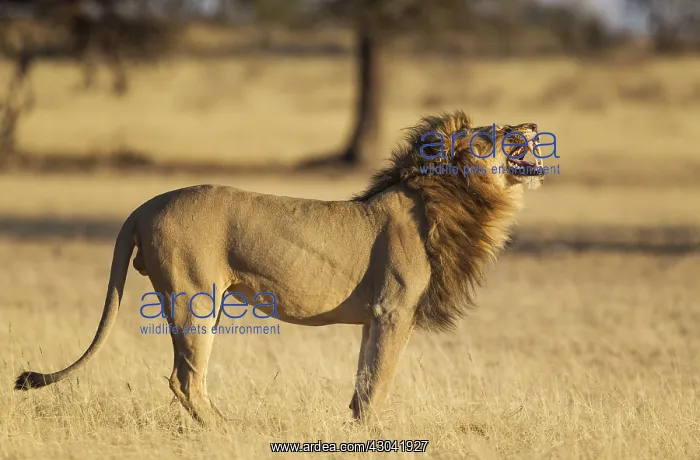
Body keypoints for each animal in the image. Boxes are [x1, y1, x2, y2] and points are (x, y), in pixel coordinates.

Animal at [14, 110, 545, 427]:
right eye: (496, 133)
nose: (533, 126)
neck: (455, 197)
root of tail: (143, 206)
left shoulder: (374, 319)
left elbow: (363, 380)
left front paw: (353, 430)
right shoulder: (393, 311)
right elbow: (379, 381)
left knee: (184, 379)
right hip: (195, 299)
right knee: (185, 379)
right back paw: (226, 430)